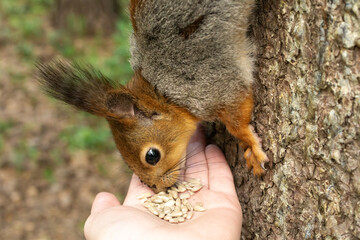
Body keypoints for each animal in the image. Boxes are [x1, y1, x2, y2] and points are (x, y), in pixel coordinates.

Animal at [37, 0, 268, 192]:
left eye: (152, 156)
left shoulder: (215, 84)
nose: (155, 188)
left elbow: (237, 119)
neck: (162, 94)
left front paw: (250, 145)